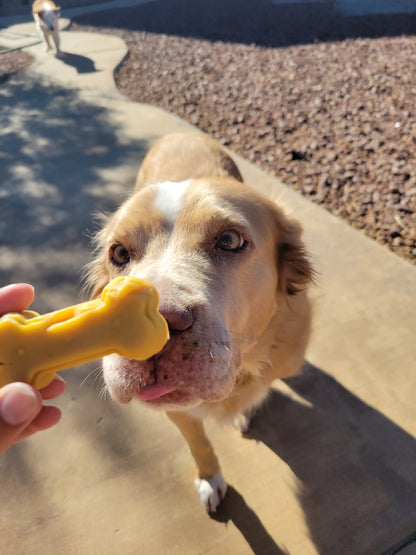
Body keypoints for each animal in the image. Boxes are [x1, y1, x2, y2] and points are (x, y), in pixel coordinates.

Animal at [88, 134, 316, 512]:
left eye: (229, 240)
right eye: (118, 253)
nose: (148, 337)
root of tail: (179, 133)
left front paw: (244, 410)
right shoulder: (178, 410)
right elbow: (199, 443)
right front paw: (210, 478)